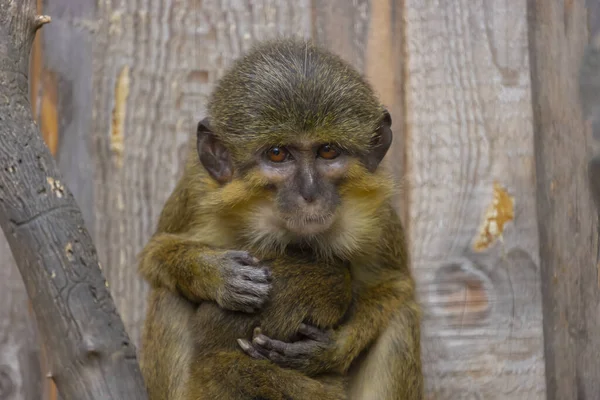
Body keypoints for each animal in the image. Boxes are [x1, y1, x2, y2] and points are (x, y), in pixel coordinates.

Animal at [139, 37, 424, 400]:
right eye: (277, 154)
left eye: (328, 151)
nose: (309, 193)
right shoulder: (196, 190)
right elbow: (155, 254)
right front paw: (216, 273)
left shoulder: (378, 220)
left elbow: (396, 285)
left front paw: (332, 350)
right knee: (167, 297)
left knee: (402, 316)